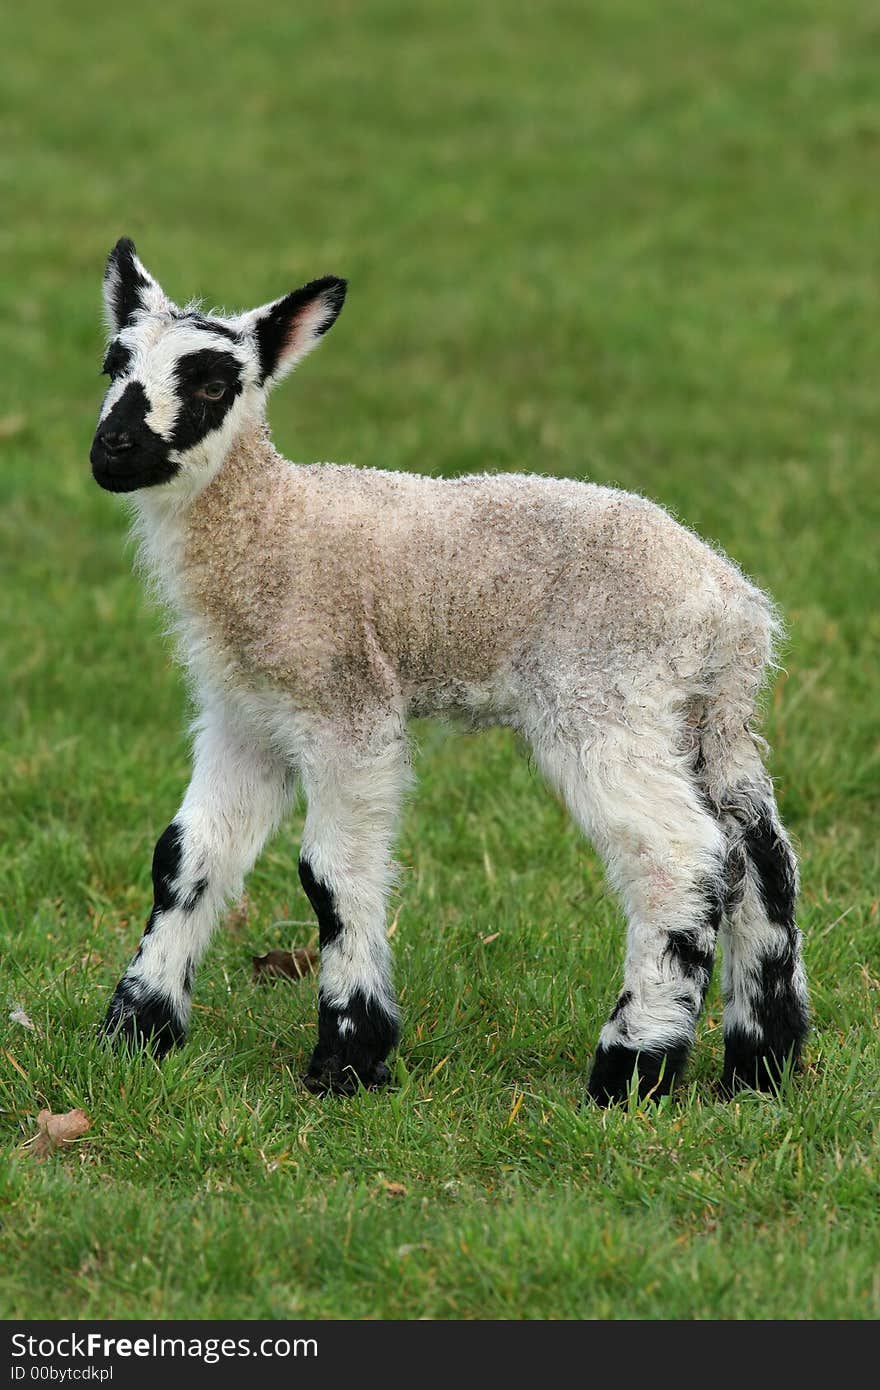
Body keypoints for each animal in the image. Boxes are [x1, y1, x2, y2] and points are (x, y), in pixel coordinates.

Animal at [92, 241, 806, 1106]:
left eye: (210, 384)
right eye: (113, 363)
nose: (112, 451)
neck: (276, 522)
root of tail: (732, 606)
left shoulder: (347, 706)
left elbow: (329, 875)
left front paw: (349, 1059)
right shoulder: (245, 718)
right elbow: (186, 859)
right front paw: (137, 1033)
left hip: (604, 696)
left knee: (680, 858)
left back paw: (631, 1067)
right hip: (707, 715)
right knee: (759, 859)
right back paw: (760, 1065)